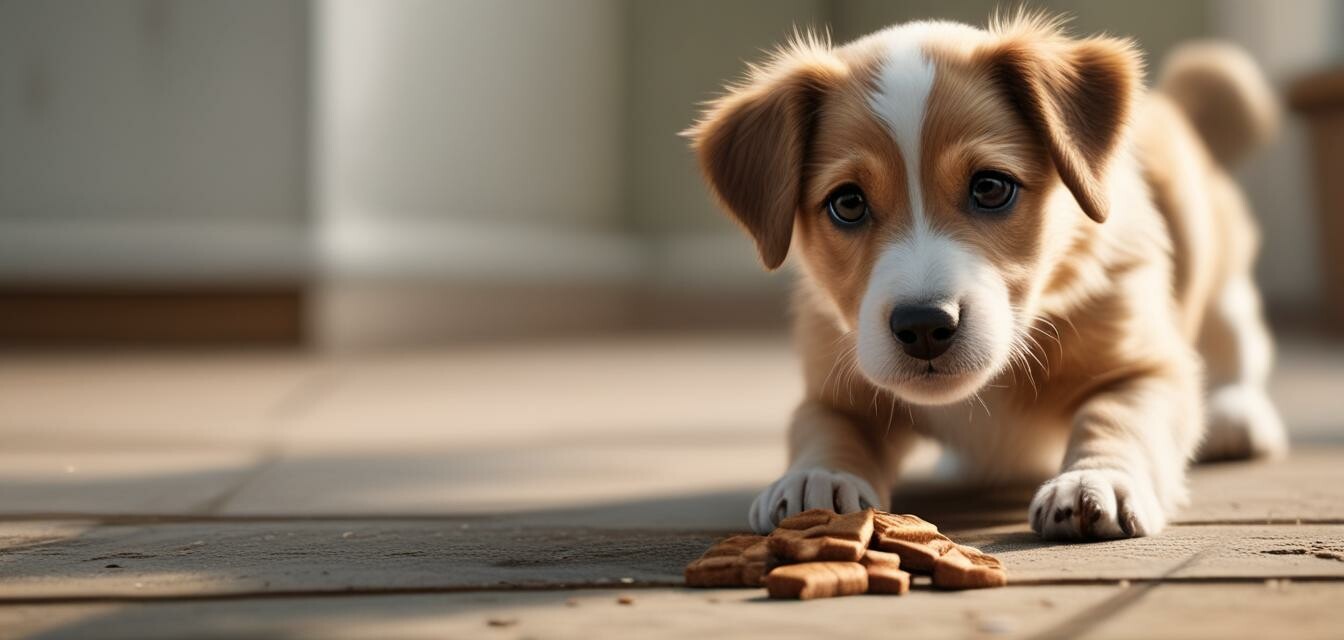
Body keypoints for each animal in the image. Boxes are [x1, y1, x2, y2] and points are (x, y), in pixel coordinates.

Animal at [688, 14, 1284, 540]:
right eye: (848, 203)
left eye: (992, 187)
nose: (923, 326)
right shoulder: (836, 388)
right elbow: (822, 427)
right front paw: (816, 478)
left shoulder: (1147, 365)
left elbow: (1117, 415)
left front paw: (1095, 478)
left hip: (1221, 268)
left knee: (1236, 343)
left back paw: (1235, 414)